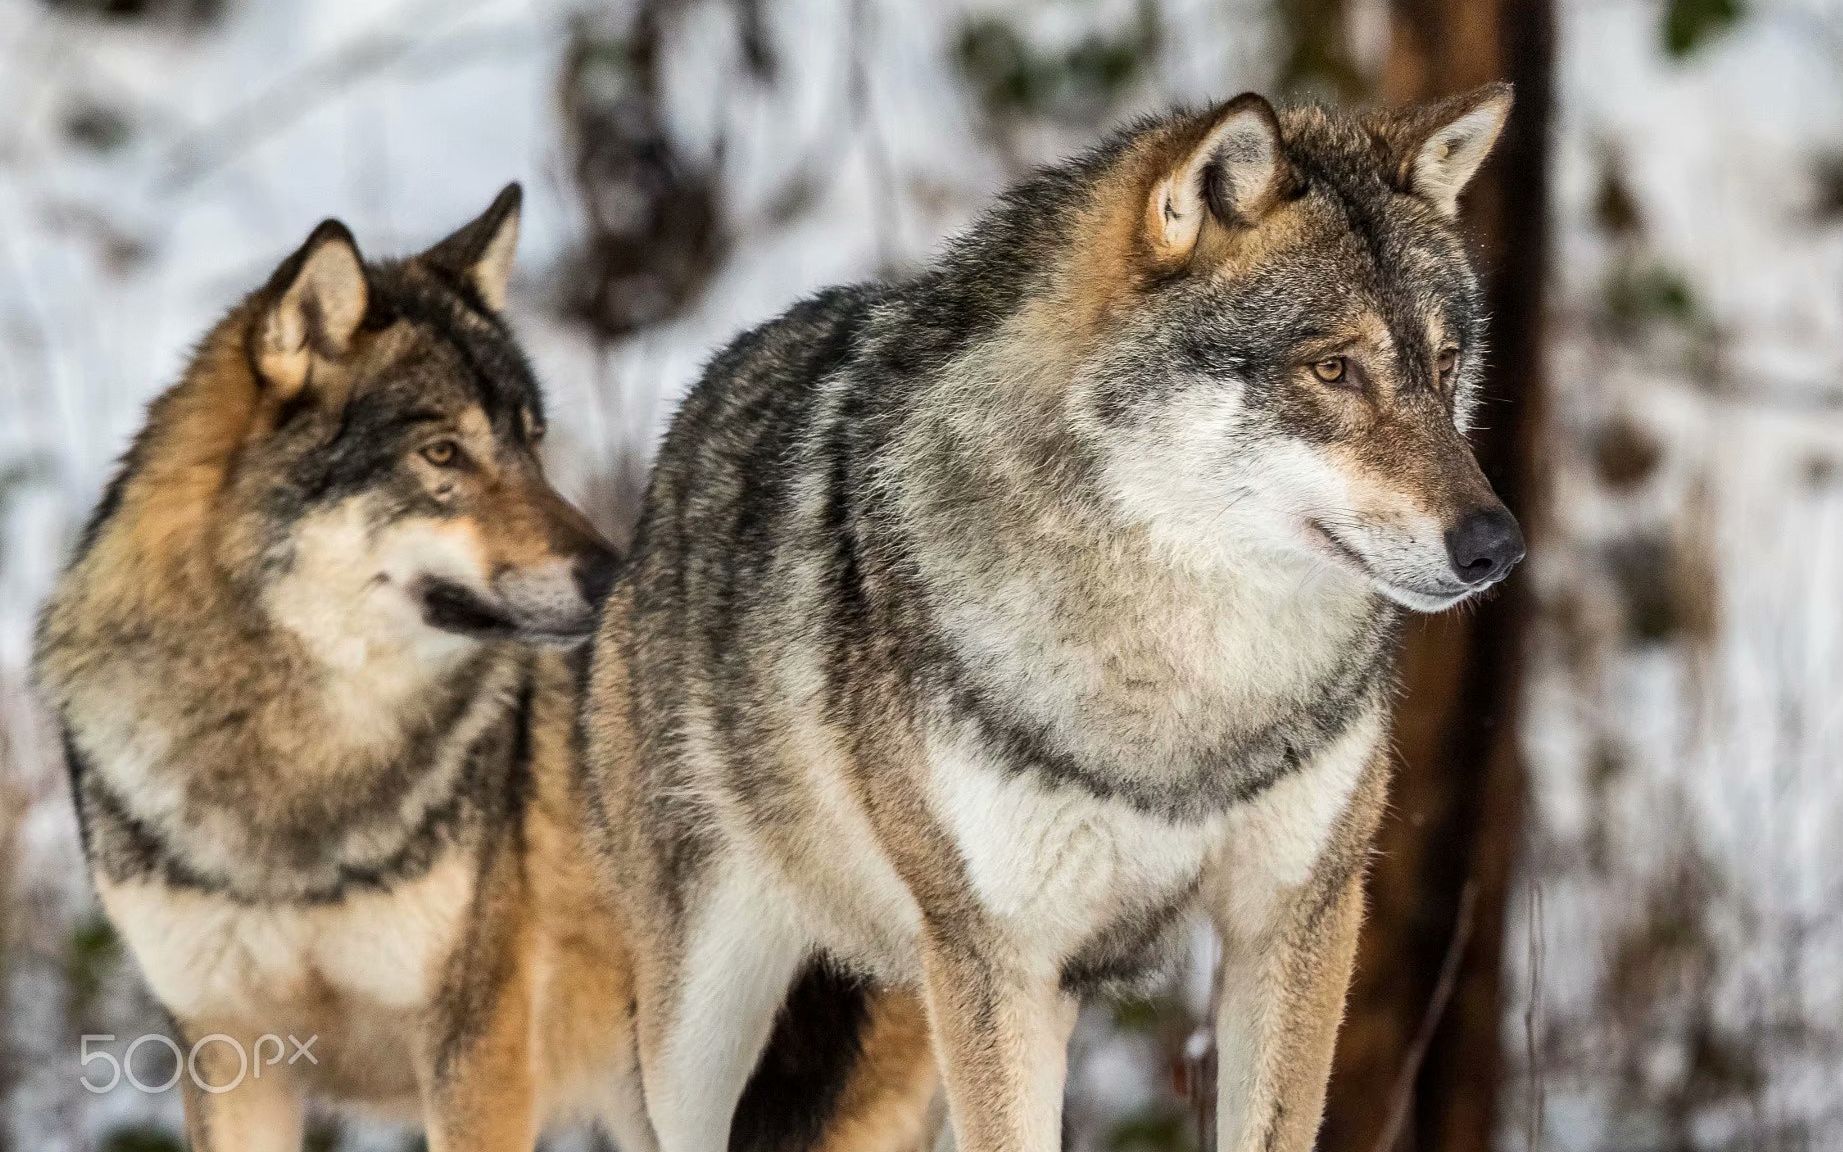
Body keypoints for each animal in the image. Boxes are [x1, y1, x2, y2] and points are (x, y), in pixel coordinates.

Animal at [34, 188, 936, 1150]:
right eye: (442, 454)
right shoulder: (228, 1048)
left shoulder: (476, 1048)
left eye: (531, 444)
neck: (295, 767)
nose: (619, 578)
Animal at [586, 85, 1526, 1150]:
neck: (1189, 675)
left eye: (1444, 366)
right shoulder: (999, 959)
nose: (1495, 546)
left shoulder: (1296, 919)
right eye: (1331, 370)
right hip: (706, 1029)